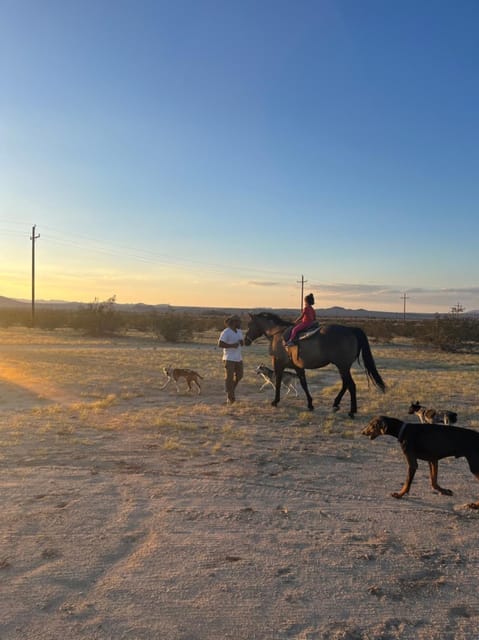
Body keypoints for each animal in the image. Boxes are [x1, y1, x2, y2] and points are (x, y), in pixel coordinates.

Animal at [246, 312, 388, 418]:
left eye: (250, 324)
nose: (245, 340)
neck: (278, 334)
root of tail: (351, 330)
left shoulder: (278, 363)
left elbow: (278, 382)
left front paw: (275, 401)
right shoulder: (297, 367)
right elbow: (303, 384)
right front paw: (310, 404)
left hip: (343, 367)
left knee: (351, 385)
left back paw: (351, 411)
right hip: (343, 367)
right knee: (346, 384)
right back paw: (336, 404)